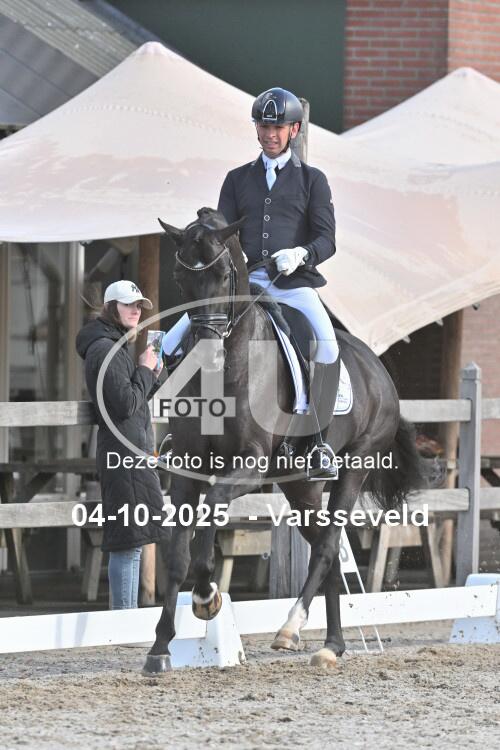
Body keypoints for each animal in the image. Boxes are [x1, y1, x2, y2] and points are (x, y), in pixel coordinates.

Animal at [143, 207, 424, 674]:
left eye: (224, 275)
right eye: (182, 278)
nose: (206, 353)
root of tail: (377, 369)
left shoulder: (251, 464)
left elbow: (209, 520)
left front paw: (207, 597)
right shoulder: (185, 469)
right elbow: (177, 554)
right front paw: (160, 647)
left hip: (355, 465)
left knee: (328, 546)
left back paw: (292, 629)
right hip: (301, 486)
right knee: (325, 547)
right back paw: (332, 644)